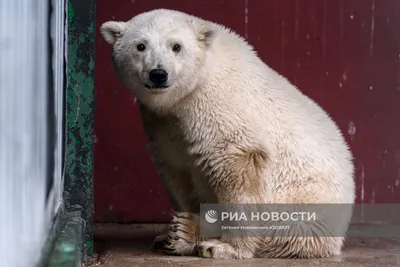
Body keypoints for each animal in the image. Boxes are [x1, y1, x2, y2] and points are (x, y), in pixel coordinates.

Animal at [99, 9, 354, 260]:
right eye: (140, 46)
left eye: (176, 46)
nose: (158, 74)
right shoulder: (163, 123)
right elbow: (177, 169)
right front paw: (171, 232)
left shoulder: (219, 105)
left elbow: (236, 164)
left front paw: (225, 247)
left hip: (303, 204)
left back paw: (190, 232)